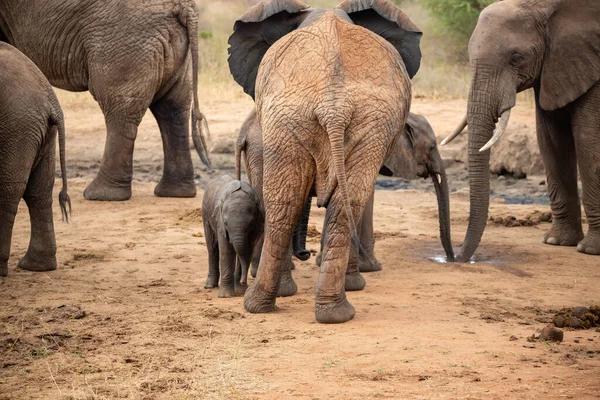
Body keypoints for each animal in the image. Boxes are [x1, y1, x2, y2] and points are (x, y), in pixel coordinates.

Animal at [0, 42, 71, 276]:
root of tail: (50, 99)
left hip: (16, 126)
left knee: (8, 190)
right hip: (37, 130)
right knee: (39, 191)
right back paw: (37, 267)